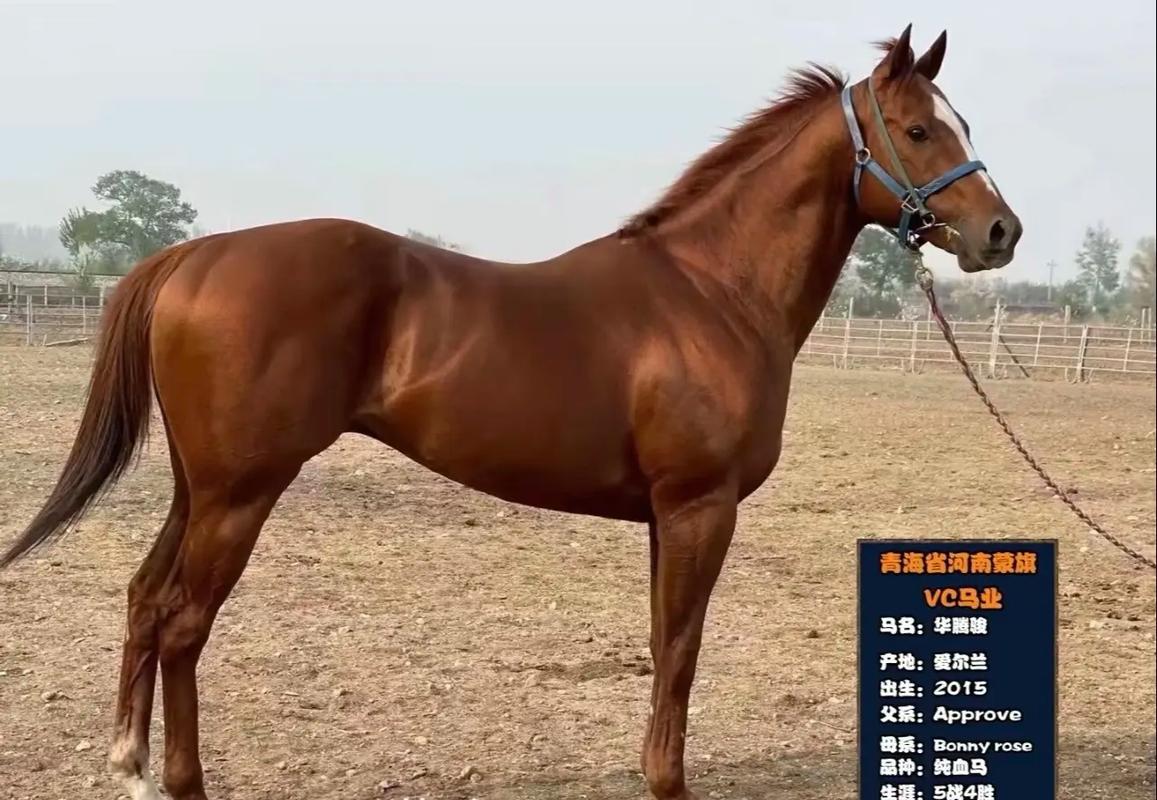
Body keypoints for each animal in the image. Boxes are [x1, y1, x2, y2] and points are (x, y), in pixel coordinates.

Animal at [0, 25, 1020, 800]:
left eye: (961, 122)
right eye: (918, 129)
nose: (1000, 232)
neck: (711, 291)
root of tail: (194, 255)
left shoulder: (667, 517)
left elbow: (664, 646)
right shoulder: (699, 506)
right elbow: (683, 650)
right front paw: (667, 783)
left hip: (198, 486)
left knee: (143, 599)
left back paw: (132, 767)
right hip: (241, 494)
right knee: (181, 625)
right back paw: (182, 781)